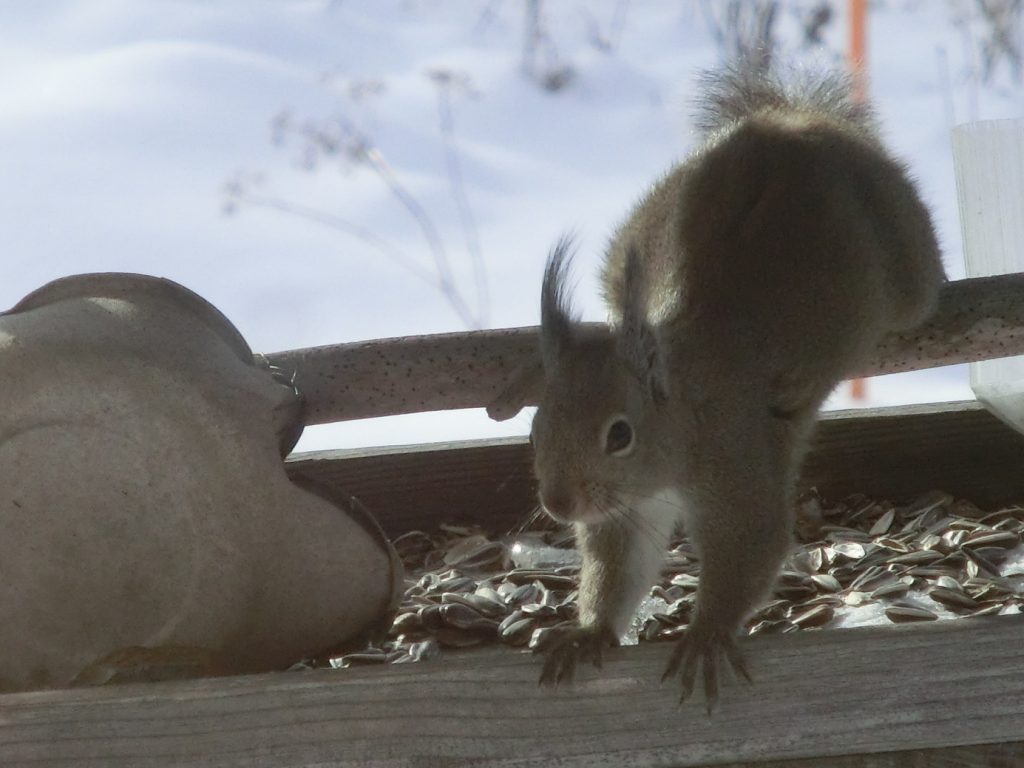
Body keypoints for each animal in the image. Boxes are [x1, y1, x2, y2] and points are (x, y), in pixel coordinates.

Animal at [487, 63, 942, 712]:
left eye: (619, 435)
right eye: (535, 432)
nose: (559, 504)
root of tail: (790, 123)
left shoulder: (735, 461)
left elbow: (751, 545)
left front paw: (706, 633)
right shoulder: (626, 513)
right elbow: (619, 568)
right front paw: (589, 631)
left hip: (907, 268)